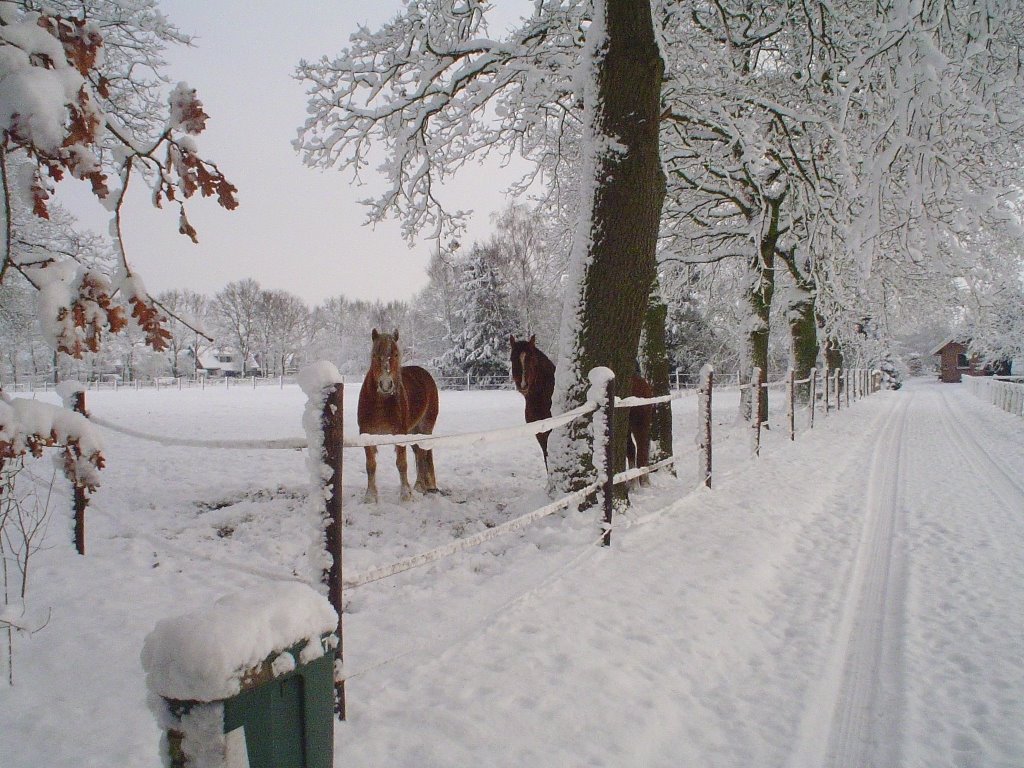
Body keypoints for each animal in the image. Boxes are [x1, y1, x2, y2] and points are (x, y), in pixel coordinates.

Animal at [358, 329, 438, 505]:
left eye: (395, 354)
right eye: (375, 355)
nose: (386, 385)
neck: (381, 403)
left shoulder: (399, 434)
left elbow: (401, 464)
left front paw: (405, 495)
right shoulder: (367, 434)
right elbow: (370, 465)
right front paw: (370, 496)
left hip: (424, 428)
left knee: (422, 454)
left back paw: (419, 486)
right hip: (412, 431)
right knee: (418, 452)